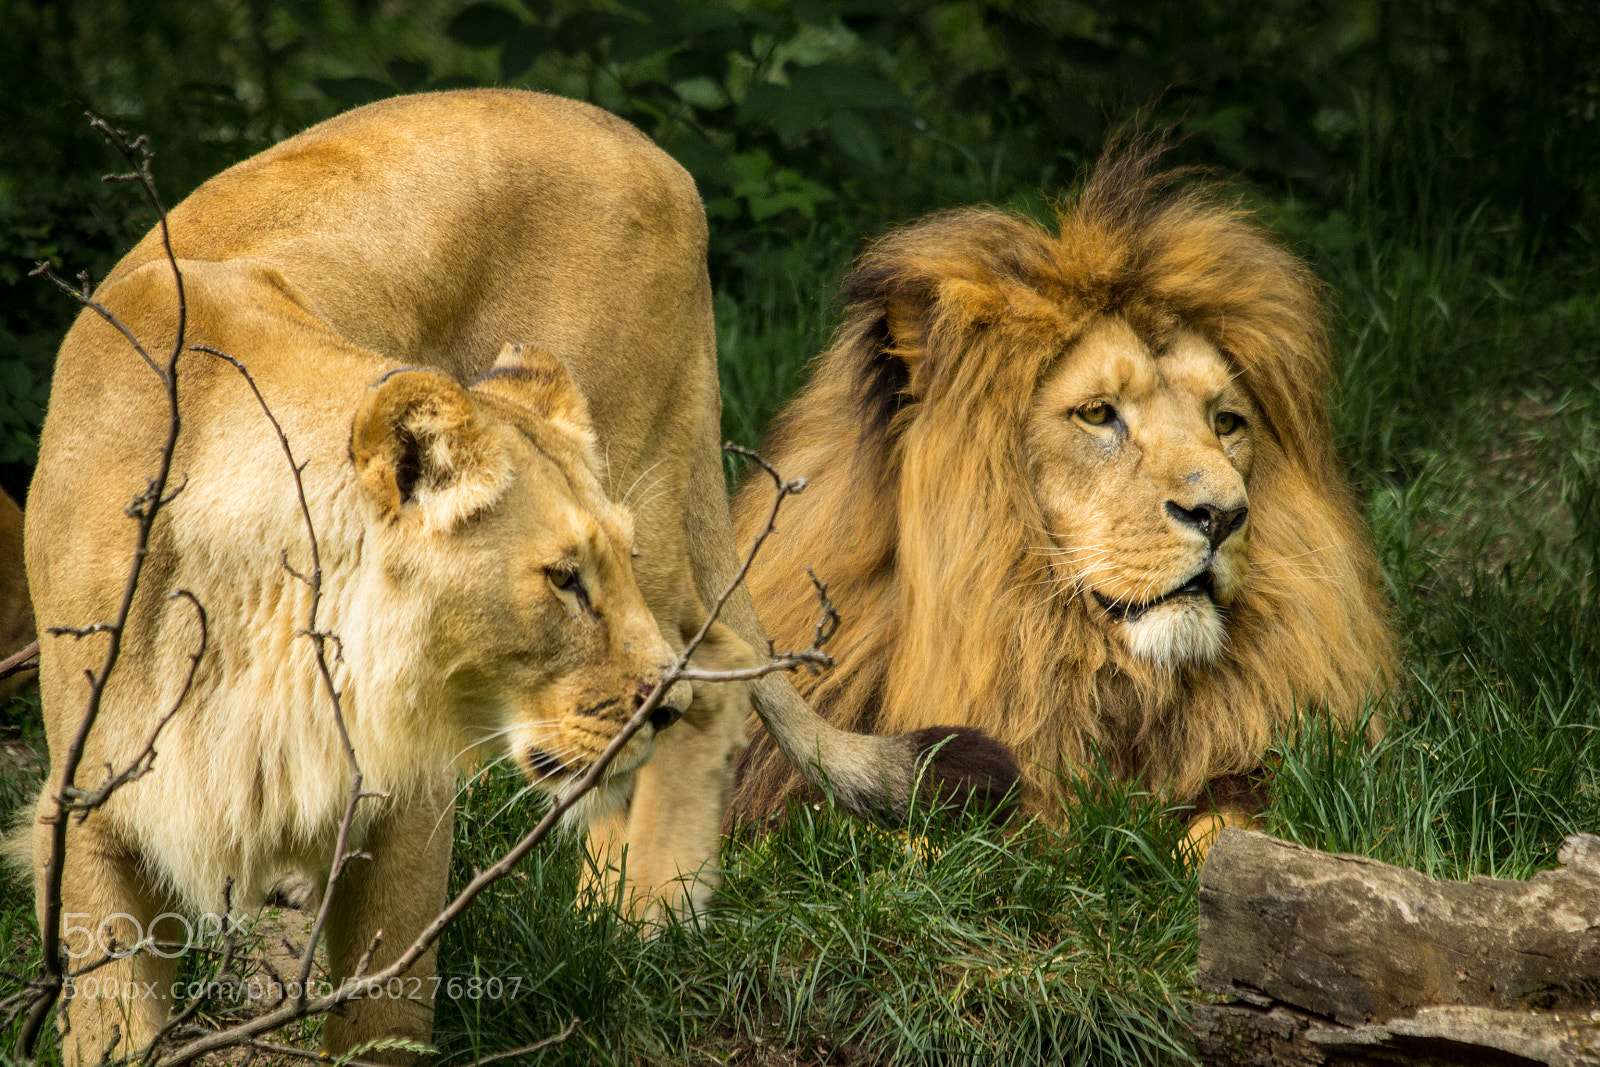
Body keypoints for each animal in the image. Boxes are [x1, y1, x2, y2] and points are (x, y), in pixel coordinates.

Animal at [20, 90, 1014, 1063]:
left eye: (604, 567)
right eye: (564, 579)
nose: (652, 703)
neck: (266, 635)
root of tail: (649, 148)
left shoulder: (409, 799)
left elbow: (382, 1018)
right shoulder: (87, 818)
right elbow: (113, 1019)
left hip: (652, 463)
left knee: (719, 656)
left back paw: (645, 915)